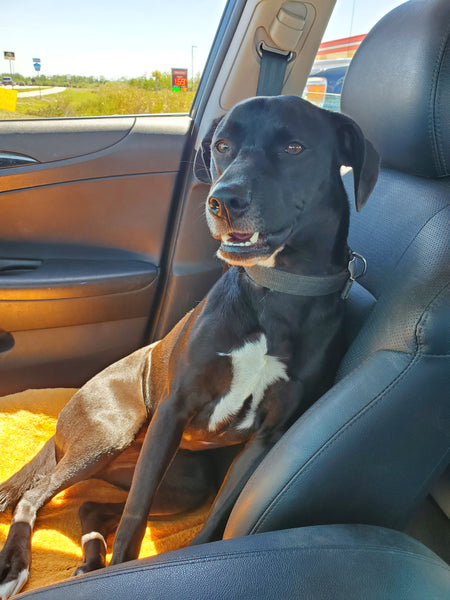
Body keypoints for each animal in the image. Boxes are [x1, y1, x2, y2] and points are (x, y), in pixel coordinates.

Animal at [0, 96, 378, 596]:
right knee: (36, 497)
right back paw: (16, 566)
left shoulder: (267, 437)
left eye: (294, 147)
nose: (223, 200)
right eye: (222, 146)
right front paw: (125, 568)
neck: (275, 289)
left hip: (183, 480)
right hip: (112, 434)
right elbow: (135, 516)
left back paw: (91, 557)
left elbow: (219, 516)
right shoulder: (173, 410)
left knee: (89, 505)